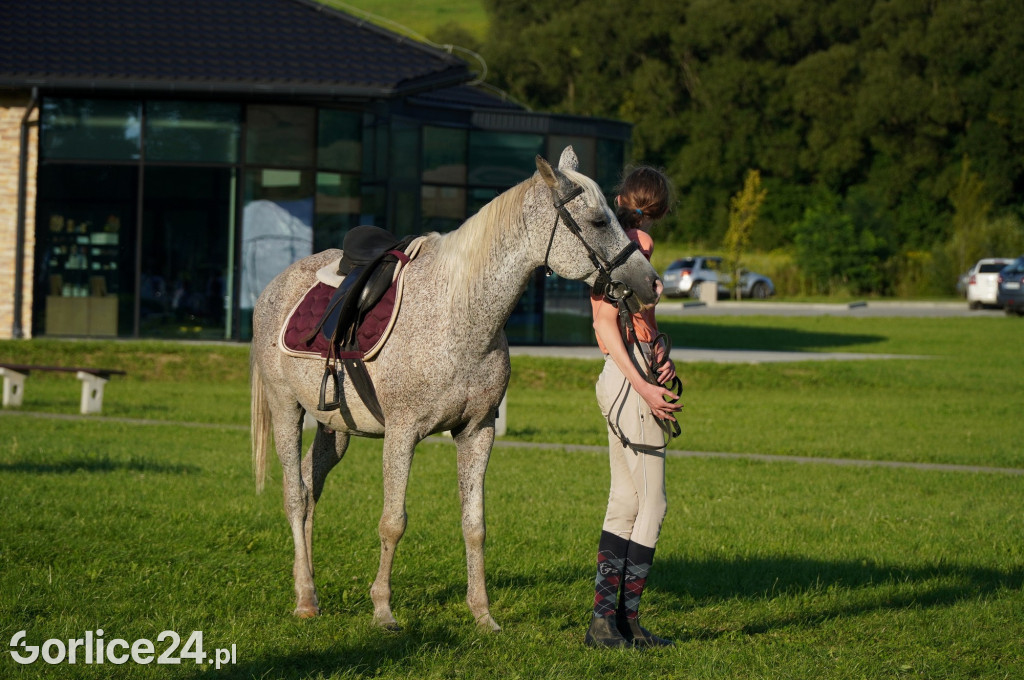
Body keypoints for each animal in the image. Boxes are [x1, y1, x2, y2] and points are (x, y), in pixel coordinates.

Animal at [251, 148, 659, 630]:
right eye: (597, 221)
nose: (651, 282)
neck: (458, 314)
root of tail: (274, 287)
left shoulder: (477, 432)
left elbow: (474, 525)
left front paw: (482, 613)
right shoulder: (402, 434)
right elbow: (393, 521)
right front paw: (383, 610)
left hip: (335, 428)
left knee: (311, 489)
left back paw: (311, 586)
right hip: (286, 409)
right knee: (295, 496)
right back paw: (305, 598)